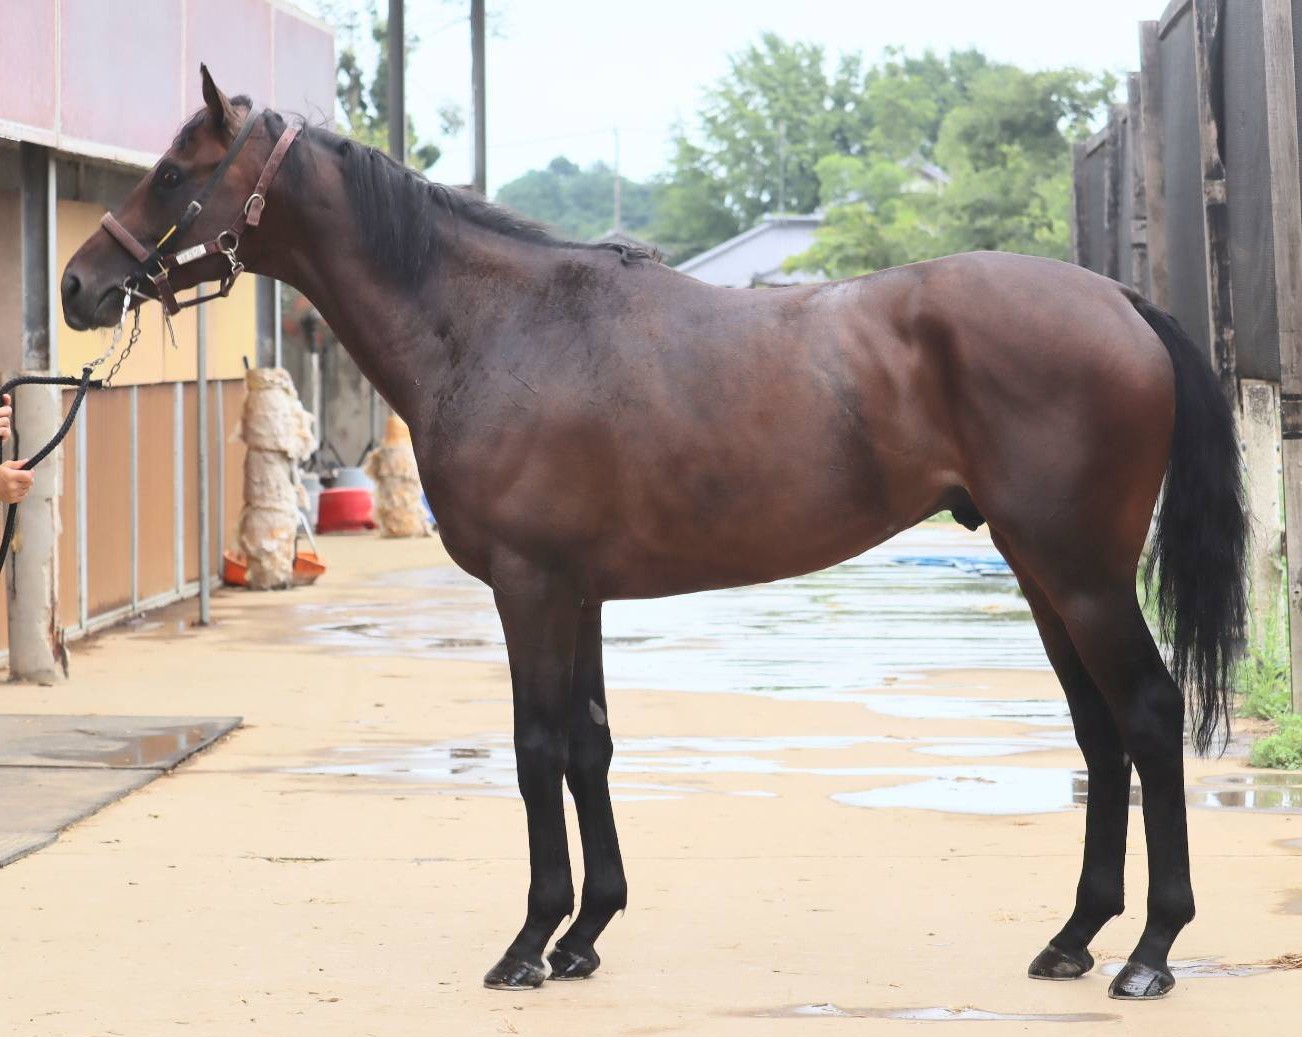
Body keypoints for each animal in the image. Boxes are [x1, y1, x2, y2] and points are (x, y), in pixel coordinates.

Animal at [60, 67, 1247, 1001]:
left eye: (172, 173)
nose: (80, 285)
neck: (496, 325)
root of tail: (1122, 301)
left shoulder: (530, 588)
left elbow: (538, 748)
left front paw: (529, 942)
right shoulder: (576, 592)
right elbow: (590, 743)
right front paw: (587, 934)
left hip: (1081, 575)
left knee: (1147, 717)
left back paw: (1150, 951)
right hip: (1043, 574)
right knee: (1099, 732)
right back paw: (1074, 938)